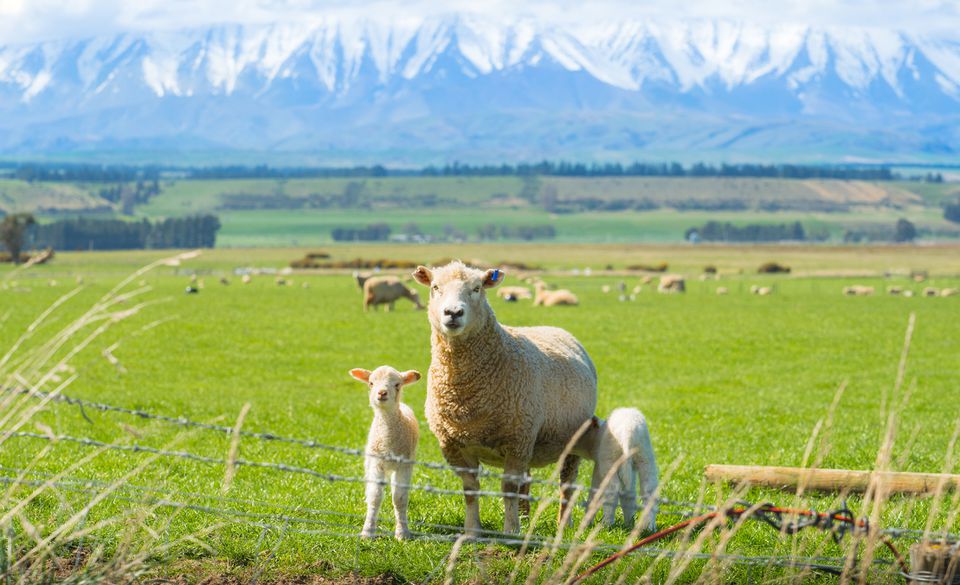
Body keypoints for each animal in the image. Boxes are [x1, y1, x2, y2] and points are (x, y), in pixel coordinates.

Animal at [346, 364, 418, 540]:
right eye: (371, 383)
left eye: (397, 384)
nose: (382, 393)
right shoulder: (376, 463)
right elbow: (375, 496)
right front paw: (367, 532)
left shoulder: (405, 464)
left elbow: (399, 498)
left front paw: (402, 533)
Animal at [414, 262, 600, 536]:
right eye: (435, 287)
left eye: (477, 288)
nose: (453, 313)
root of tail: (553, 327)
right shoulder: (454, 446)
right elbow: (471, 490)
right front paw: (472, 531)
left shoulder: (516, 440)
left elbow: (508, 489)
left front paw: (510, 531)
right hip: (530, 440)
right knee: (527, 480)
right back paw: (525, 516)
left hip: (571, 437)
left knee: (566, 483)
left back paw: (562, 525)